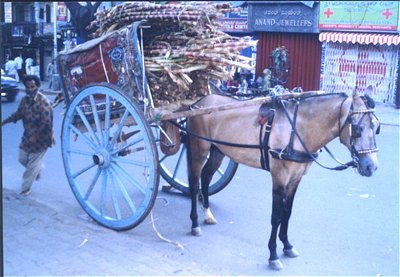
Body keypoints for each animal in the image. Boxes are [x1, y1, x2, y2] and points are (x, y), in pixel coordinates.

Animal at [183, 89, 380, 270]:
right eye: (358, 129)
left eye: (376, 127)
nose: (371, 166)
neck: (297, 129)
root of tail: (200, 102)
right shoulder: (279, 177)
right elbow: (276, 216)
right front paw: (273, 255)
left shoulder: (295, 179)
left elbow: (287, 212)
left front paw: (287, 246)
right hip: (199, 147)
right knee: (194, 181)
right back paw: (194, 223)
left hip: (218, 150)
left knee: (206, 176)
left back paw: (207, 214)